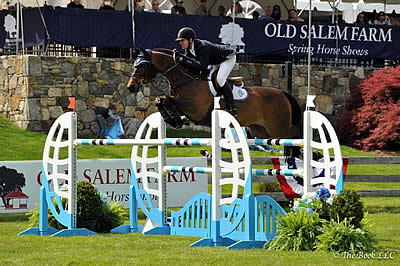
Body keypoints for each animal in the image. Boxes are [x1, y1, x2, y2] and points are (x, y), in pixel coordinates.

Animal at [128, 48, 304, 155]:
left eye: (141, 66)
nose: (131, 87)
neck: (186, 80)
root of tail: (283, 93)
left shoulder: (195, 110)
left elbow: (167, 100)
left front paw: (175, 120)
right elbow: (161, 100)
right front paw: (174, 120)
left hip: (278, 127)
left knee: (295, 134)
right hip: (260, 130)